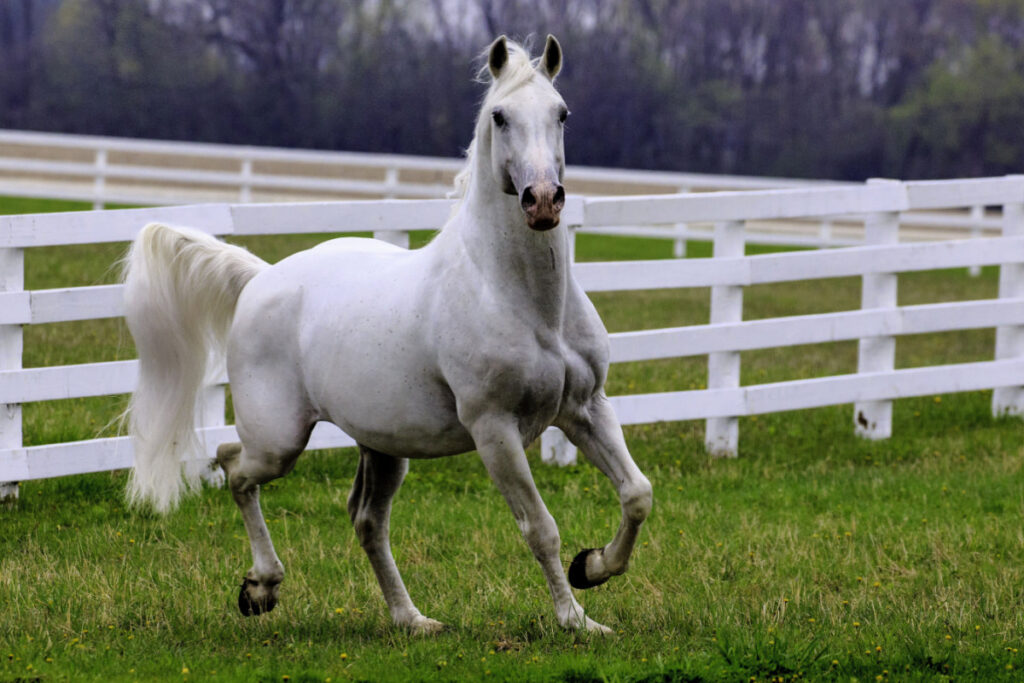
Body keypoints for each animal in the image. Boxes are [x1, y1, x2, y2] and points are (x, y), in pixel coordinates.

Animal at [119, 36, 647, 634]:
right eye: (500, 116)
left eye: (562, 113)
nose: (541, 200)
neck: (528, 305)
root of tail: (260, 278)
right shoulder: (494, 428)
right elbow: (540, 528)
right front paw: (575, 619)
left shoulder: (585, 407)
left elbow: (637, 494)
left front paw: (593, 568)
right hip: (279, 439)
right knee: (233, 466)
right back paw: (261, 587)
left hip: (383, 445)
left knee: (366, 520)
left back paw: (411, 619)